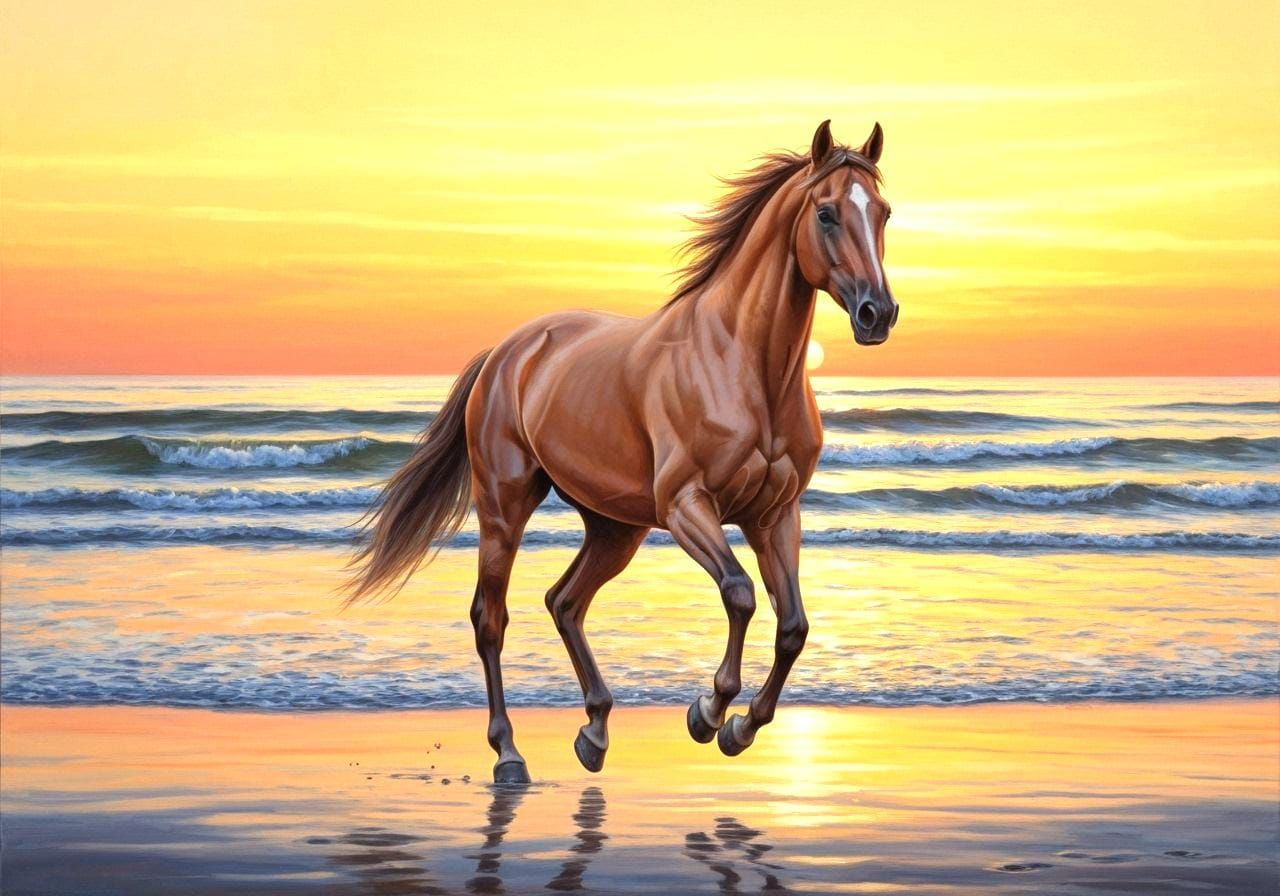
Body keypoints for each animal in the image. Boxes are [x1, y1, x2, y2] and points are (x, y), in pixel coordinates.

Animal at [346, 120, 898, 784]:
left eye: (884, 212)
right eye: (826, 213)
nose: (877, 313)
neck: (744, 366)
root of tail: (506, 352)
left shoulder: (775, 515)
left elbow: (793, 626)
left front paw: (739, 729)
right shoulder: (686, 507)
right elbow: (738, 593)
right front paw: (708, 713)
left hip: (614, 527)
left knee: (565, 601)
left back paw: (596, 732)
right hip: (505, 507)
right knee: (491, 619)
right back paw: (510, 753)